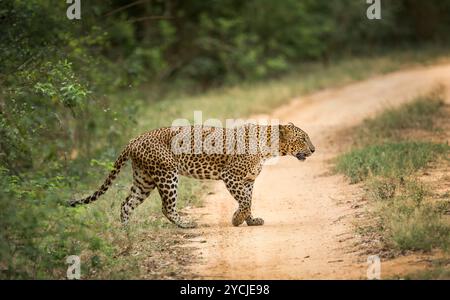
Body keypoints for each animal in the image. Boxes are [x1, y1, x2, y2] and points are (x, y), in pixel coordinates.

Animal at [69, 122, 316, 227]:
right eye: (303, 138)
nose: (314, 150)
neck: (270, 147)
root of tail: (134, 139)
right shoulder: (231, 176)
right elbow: (245, 201)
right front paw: (237, 220)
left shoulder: (247, 179)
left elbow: (248, 201)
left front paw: (251, 220)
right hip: (167, 174)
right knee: (166, 207)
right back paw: (187, 224)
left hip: (144, 179)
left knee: (126, 204)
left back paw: (126, 231)